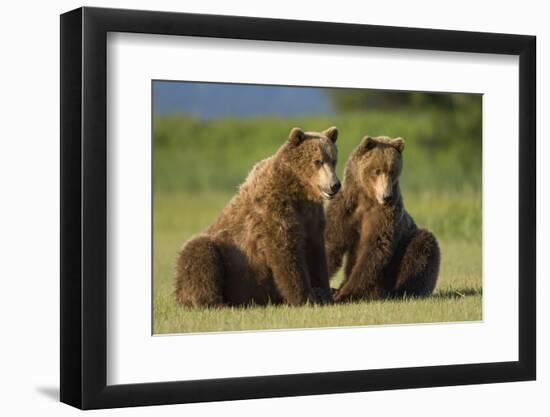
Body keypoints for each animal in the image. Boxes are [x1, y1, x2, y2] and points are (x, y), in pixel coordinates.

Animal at [176, 126, 340, 306]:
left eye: (333, 160)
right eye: (317, 161)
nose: (334, 185)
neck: (298, 192)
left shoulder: (311, 217)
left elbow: (316, 253)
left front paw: (324, 292)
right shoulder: (273, 209)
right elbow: (285, 251)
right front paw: (304, 297)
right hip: (223, 258)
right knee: (198, 252)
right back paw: (214, 302)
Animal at [326, 135, 442, 300]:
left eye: (392, 171)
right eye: (377, 170)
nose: (387, 196)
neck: (367, 199)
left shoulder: (386, 215)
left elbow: (375, 249)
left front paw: (346, 293)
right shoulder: (345, 209)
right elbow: (332, 242)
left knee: (422, 245)